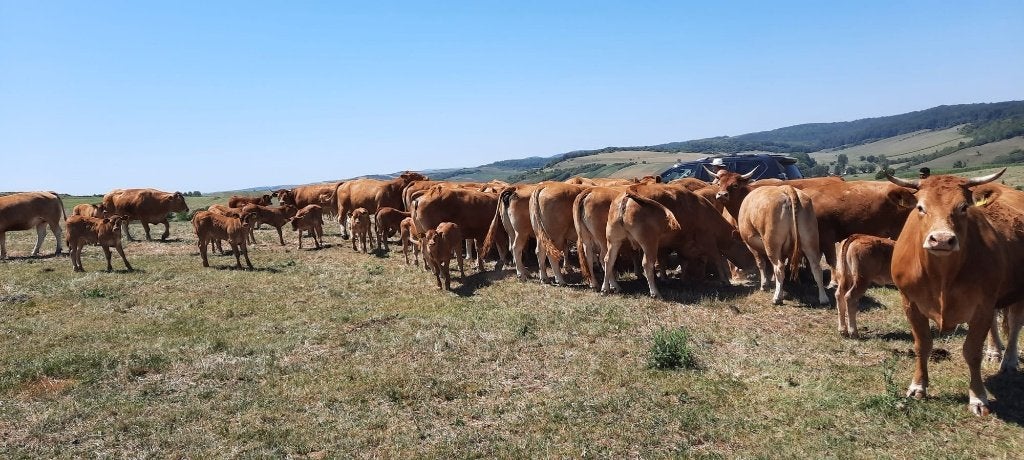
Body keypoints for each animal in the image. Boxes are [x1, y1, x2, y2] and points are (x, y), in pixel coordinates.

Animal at [887, 170, 1024, 416]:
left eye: (963, 207)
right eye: (920, 207)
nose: (941, 239)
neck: (942, 276)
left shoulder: (982, 306)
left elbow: (972, 351)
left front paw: (978, 397)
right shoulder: (910, 303)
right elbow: (922, 345)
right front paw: (918, 386)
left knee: (1016, 323)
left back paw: (1008, 360)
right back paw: (994, 352)